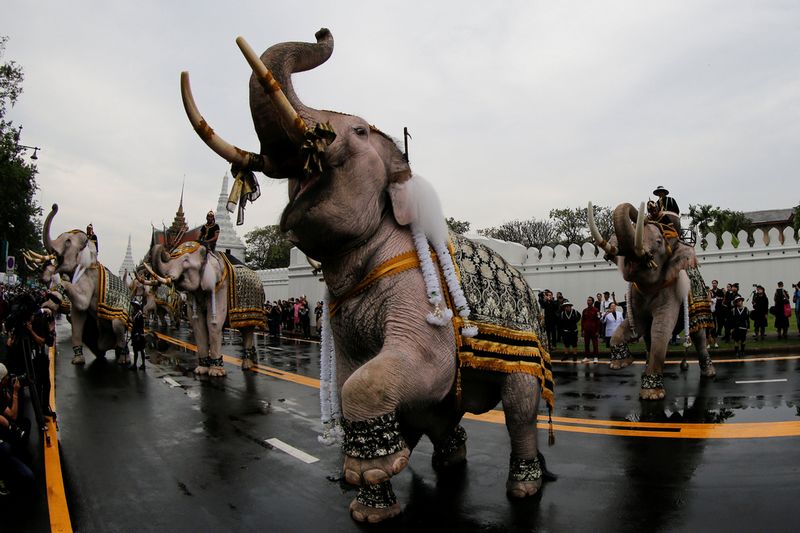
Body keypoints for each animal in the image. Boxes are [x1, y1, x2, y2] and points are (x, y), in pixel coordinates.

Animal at [42, 204, 131, 366]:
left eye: (68, 241)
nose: (54, 206)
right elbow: (77, 317)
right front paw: (77, 360)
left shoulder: (89, 278)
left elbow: (82, 302)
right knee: (102, 344)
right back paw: (104, 352)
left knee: (117, 325)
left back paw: (123, 359)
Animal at [152, 240, 270, 374]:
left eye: (186, 260)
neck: (209, 253)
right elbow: (197, 324)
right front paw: (200, 370)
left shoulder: (221, 286)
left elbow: (214, 322)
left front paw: (215, 372)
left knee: (248, 329)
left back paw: (247, 365)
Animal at [178, 28, 556, 520]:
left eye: (357, 130)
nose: (321, 31)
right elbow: (349, 378)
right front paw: (370, 503)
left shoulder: (422, 300)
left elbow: (409, 370)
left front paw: (367, 472)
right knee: (441, 410)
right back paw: (446, 459)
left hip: (527, 344)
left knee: (519, 404)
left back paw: (524, 487)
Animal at [588, 201, 712, 400]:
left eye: (659, 242)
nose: (646, 213)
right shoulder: (636, 296)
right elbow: (635, 325)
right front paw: (620, 364)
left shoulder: (670, 288)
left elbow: (660, 330)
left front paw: (651, 394)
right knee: (647, 337)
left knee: (699, 334)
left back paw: (709, 373)